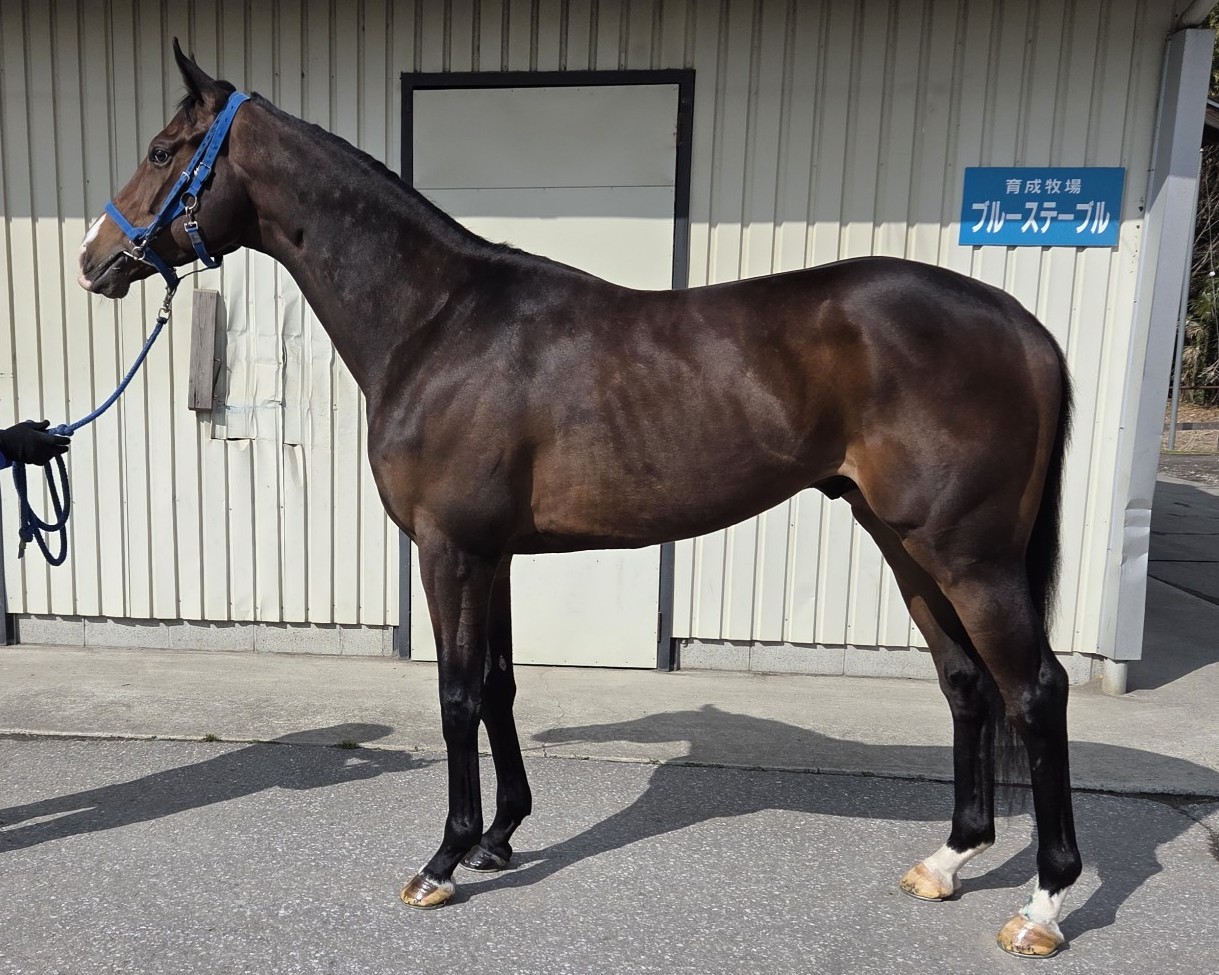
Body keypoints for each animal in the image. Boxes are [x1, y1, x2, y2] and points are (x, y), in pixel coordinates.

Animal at [77, 42, 1078, 958]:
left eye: (164, 150)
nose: (94, 260)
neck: (438, 322)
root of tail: (1022, 326)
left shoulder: (449, 548)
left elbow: (454, 694)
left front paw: (442, 861)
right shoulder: (494, 553)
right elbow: (498, 683)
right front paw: (499, 835)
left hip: (969, 555)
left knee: (1035, 689)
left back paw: (1042, 905)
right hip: (903, 541)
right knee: (965, 685)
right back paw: (948, 859)